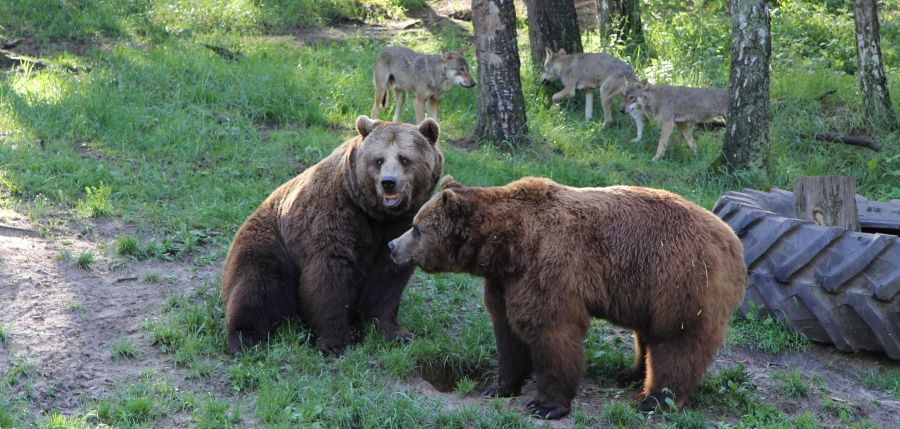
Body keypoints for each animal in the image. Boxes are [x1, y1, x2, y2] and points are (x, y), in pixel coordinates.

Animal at [390, 176, 748, 416]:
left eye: (417, 227)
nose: (393, 245)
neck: (507, 245)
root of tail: (732, 242)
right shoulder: (505, 282)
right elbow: (507, 332)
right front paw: (499, 386)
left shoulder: (550, 265)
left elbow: (552, 331)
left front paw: (546, 405)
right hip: (647, 289)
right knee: (646, 334)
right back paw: (630, 374)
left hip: (679, 278)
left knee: (677, 340)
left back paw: (655, 399)